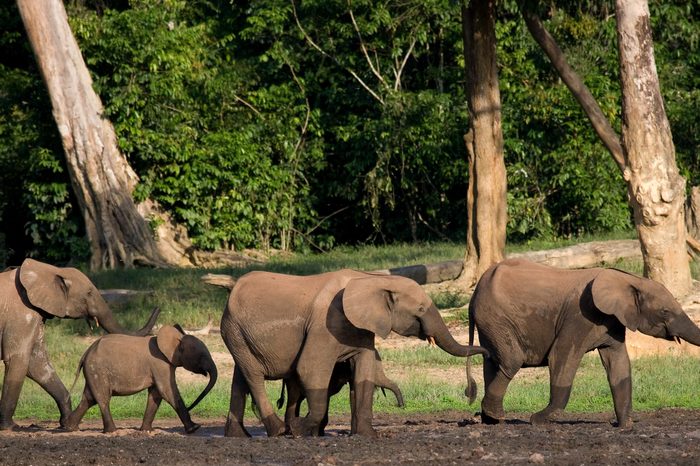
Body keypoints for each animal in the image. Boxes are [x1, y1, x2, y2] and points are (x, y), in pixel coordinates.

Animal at [0, 258, 160, 430]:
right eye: (89, 293)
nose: (157, 305)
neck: (49, 269)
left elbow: (37, 364)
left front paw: (66, 424)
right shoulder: (22, 314)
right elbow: (18, 359)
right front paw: (10, 427)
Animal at [66, 324, 219, 434]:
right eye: (201, 357)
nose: (190, 406)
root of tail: (86, 352)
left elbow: (156, 395)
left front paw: (147, 431)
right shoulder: (160, 365)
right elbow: (168, 392)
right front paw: (195, 429)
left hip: (93, 372)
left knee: (89, 399)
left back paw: (70, 428)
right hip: (98, 370)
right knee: (102, 398)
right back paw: (111, 431)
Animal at [221, 270, 490, 436]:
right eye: (421, 309)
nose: (469, 392)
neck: (371, 279)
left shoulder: (361, 327)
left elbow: (364, 372)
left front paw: (368, 436)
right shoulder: (325, 325)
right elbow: (310, 369)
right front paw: (299, 430)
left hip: (239, 335)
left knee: (241, 377)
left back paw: (240, 436)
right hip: (235, 330)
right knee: (254, 377)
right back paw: (278, 431)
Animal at [464, 260, 700, 428]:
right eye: (665, 312)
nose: (534, 419)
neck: (628, 279)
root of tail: (476, 290)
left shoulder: (611, 321)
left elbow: (619, 365)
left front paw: (625, 426)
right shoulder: (580, 316)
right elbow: (561, 357)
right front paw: (538, 420)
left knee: (492, 361)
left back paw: (491, 420)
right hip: (495, 318)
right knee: (511, 361)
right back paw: (496, 417)